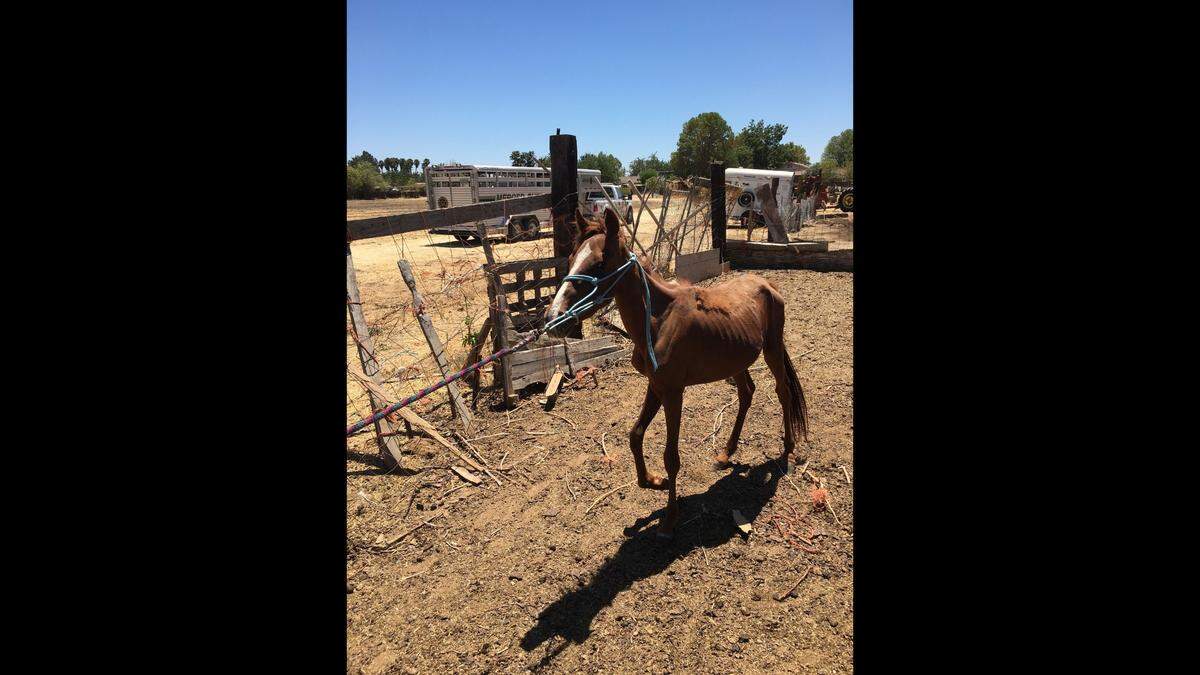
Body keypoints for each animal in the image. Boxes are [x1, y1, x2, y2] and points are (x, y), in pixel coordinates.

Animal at [545, 206, 809, 538]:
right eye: (570, 259)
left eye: (599, 264)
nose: (554, 318)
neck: (658, 319)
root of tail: (768, 285)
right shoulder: (655, 386)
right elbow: (635, 435)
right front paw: (652, 481)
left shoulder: (673, 393)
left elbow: (671, 457)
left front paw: (670, 519)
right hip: (736, 360)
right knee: (747, 393)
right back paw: (726, 453)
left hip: (772, 348)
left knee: (783, 391)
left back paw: (788, 446)